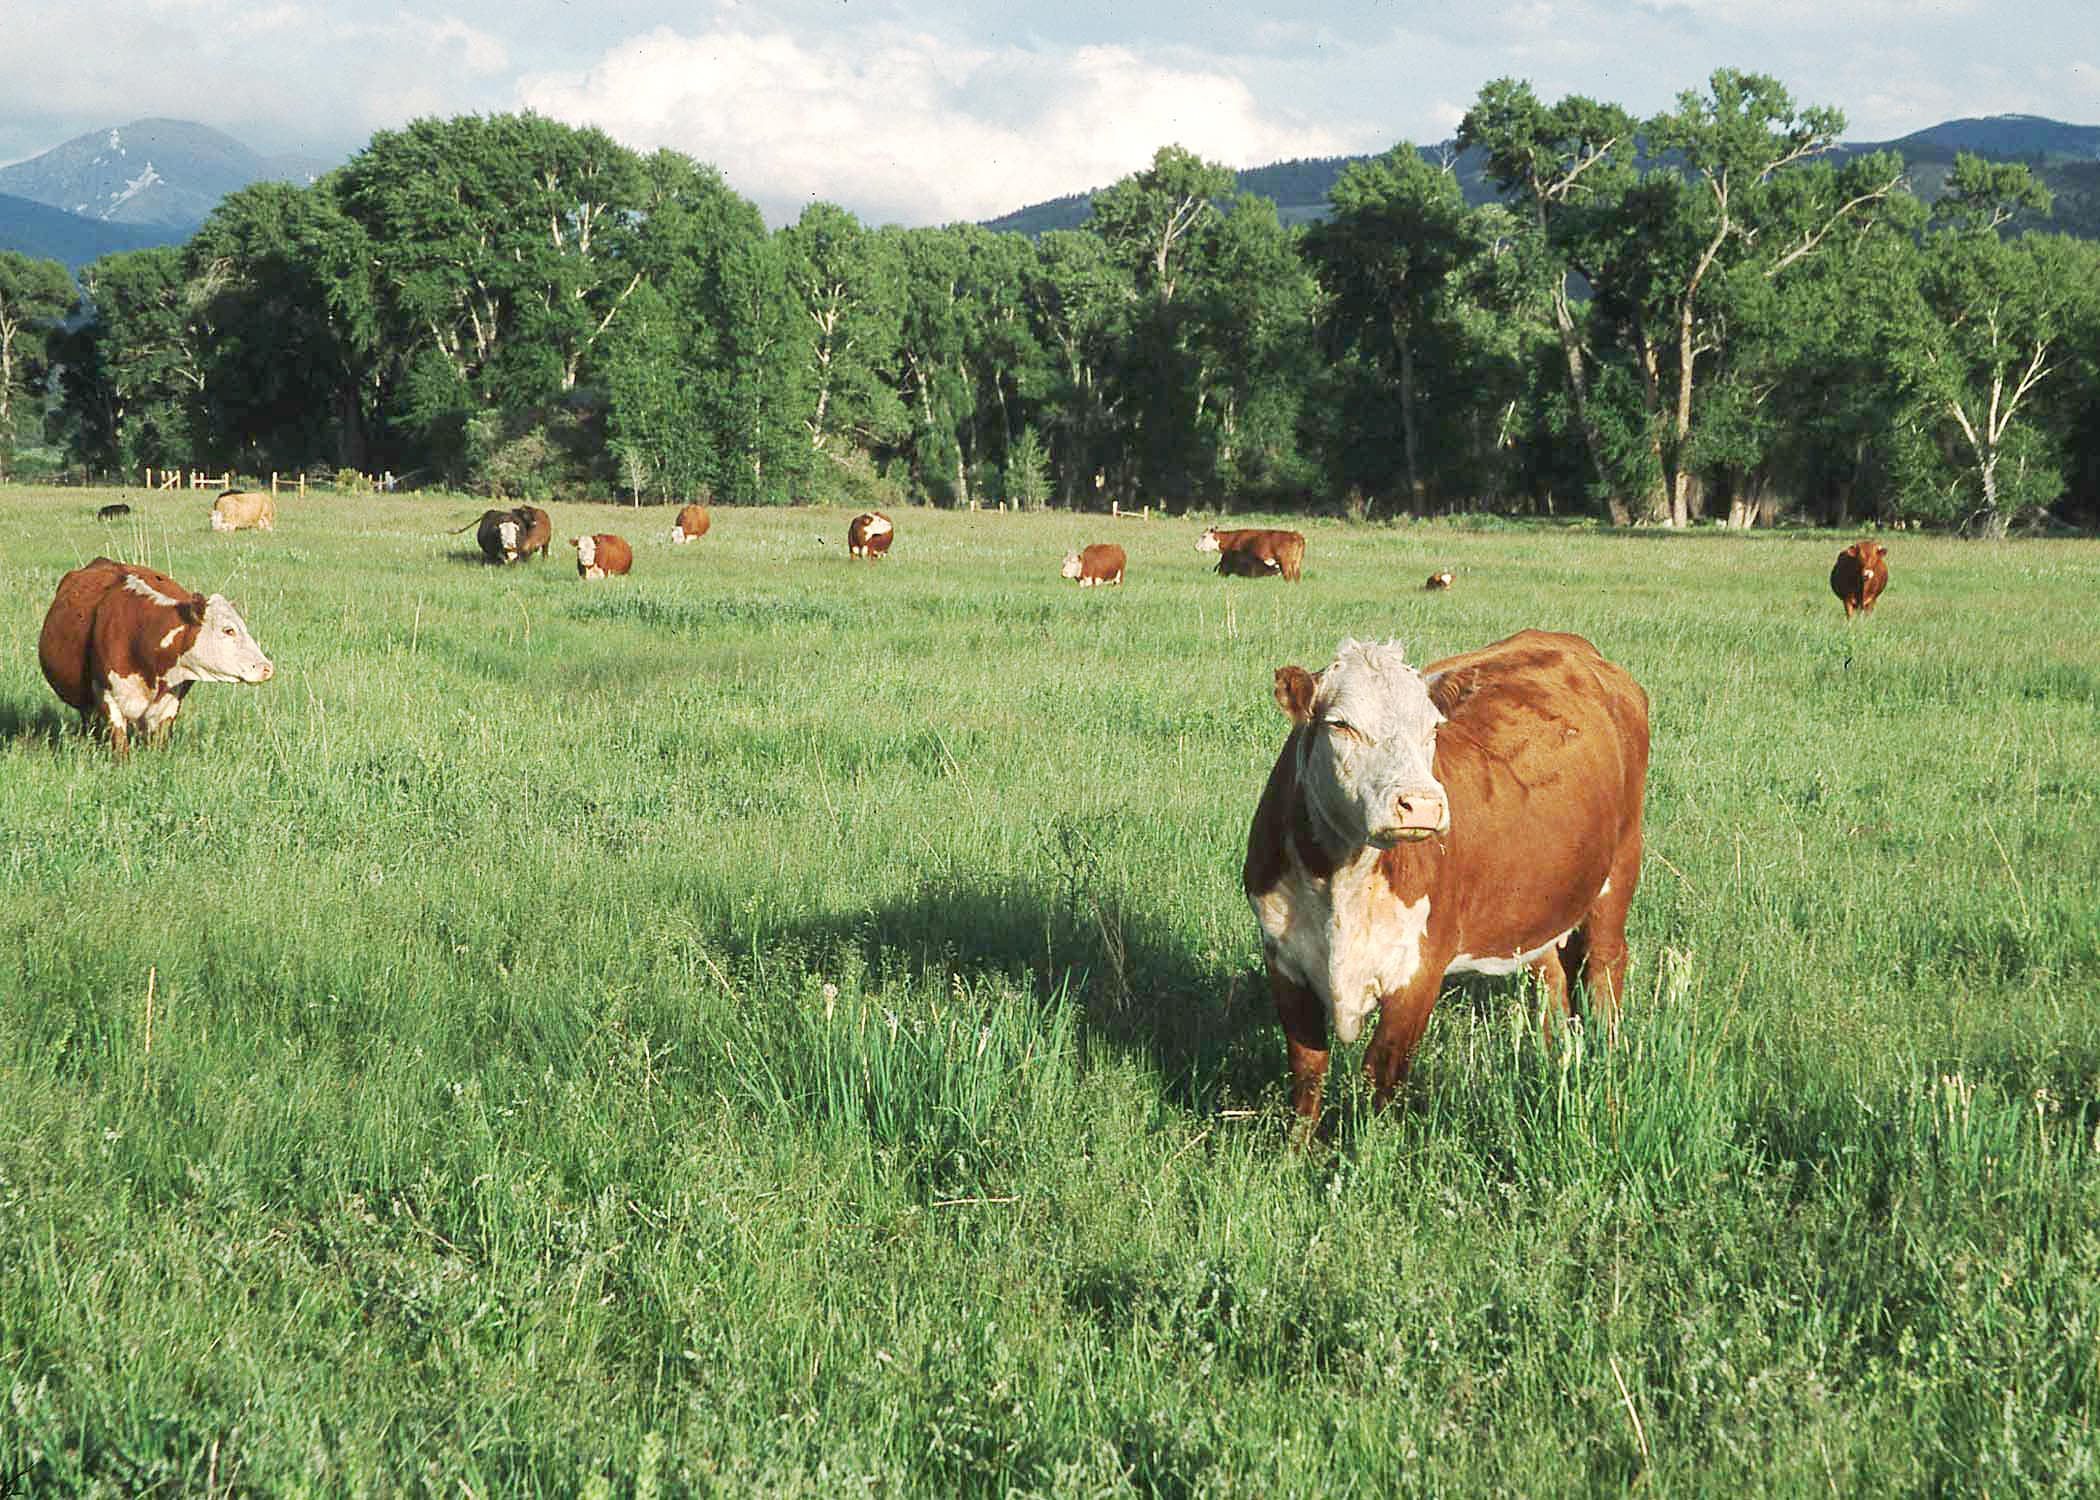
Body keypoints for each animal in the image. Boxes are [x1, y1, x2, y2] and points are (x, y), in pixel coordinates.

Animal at [1244, 629, 1649, 1125]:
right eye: (1340, 724)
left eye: (1433, 728)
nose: (1421, 803)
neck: (1341, 884)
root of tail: (1572, 645)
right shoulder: (1283, 957)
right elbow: (1306, 1070)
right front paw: (1299, 1144)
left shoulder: (1420, 970)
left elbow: (1381, 1073)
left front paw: (1370, 1144)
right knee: (1552, 977)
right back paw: (1554, 1054)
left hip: (1620, 865)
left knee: (1604, 966)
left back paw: (1606, 1057)